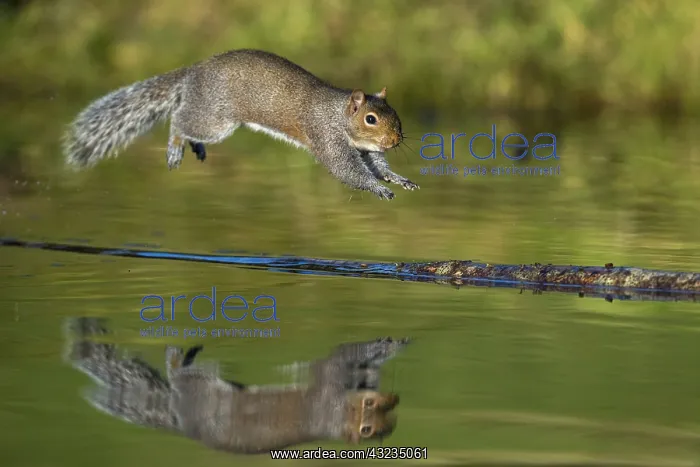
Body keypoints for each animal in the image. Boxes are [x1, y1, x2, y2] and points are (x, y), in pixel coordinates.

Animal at [62, 49, 419, 200]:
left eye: (395, 114)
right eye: (370, 119)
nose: (395, 140)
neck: (338, 114)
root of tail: (194, 73)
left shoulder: (365, 150)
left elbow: (376, 165)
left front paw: (398, 179)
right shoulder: (327, 137)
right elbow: (347, 170)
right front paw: (379, 189)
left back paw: (195, 147)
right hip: (215, 119)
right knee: (179, 121)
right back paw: (176, 146)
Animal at [63, 317, 410, 454]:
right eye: (366, 427)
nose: (396, 399)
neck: (338, 415)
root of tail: (181, 421)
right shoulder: (329, 387)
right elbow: (341, 359)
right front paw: (384, 347)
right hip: (201, 387)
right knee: (180, 374)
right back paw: (176, 357)